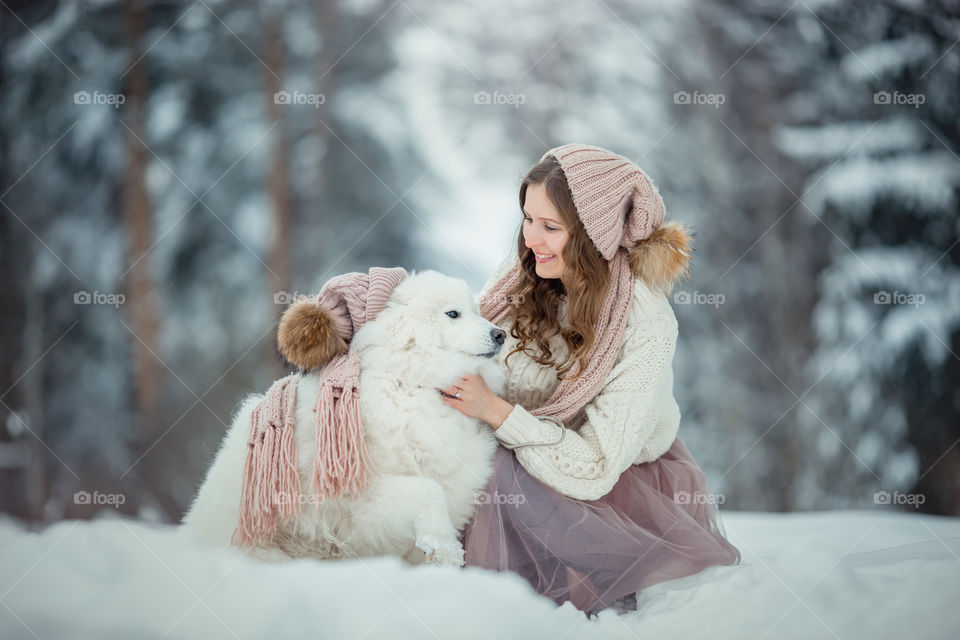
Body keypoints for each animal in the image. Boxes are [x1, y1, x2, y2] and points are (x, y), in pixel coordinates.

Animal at [183, 270, 506, 564]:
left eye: (477, 311)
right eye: (453, 314)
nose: (501, 334)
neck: (411, 382)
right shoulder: (360, 492)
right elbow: (429, 491)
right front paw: (445, 547)